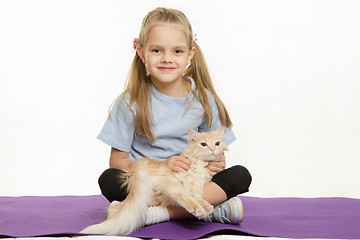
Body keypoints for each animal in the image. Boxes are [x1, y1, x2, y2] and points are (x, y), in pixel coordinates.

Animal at [81, 126, 228, 235]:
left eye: (217, 143)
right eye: (203, 144)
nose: (213, 149)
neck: (201, 164)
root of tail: (136, 169)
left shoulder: (197, 183)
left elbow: (196, 195)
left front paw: (206, 204)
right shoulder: (183, 180)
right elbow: (189, 195)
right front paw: (200, 207)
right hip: (169, 182)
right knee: (178, 197)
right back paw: (198, 210)